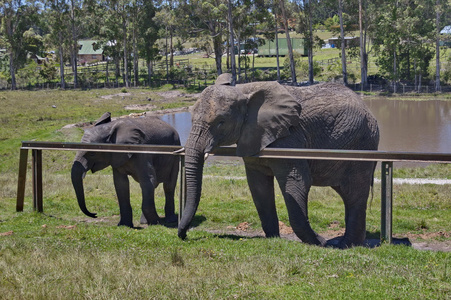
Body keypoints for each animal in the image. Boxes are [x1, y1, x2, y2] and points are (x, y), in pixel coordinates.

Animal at [178, 75, 380, 248]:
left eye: (221, 122)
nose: (184, 235)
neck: (243, 90)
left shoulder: (289, 138)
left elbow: (296, 181)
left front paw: (320, 243)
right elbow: (258, 187)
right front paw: (274, 238)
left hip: (362, 146)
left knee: (354, 193)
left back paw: (347, 245)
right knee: (347, 194)